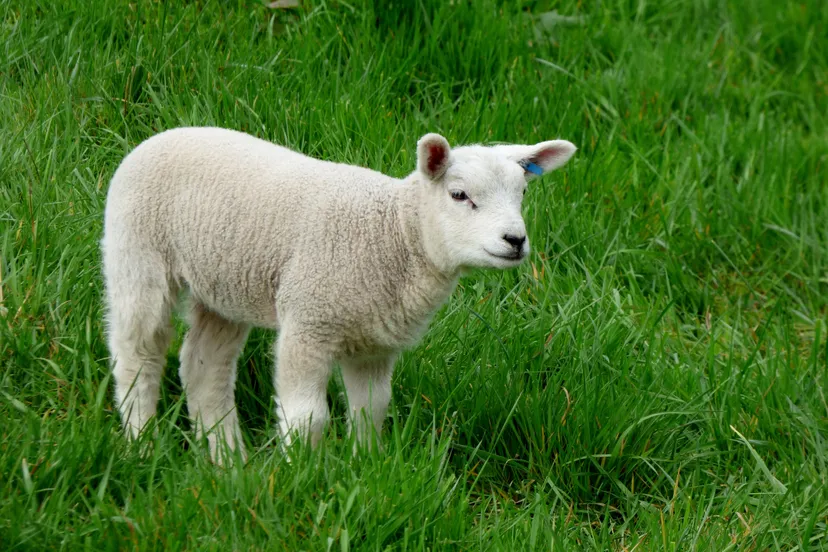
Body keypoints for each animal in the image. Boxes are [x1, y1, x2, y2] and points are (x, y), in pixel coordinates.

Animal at [101, 127, 576, 462]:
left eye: (523, 192)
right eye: (459, 195)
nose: (515, 240)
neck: (396, 233)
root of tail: (160, 136)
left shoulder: (374, 341)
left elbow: (372, 408)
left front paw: (365, 465)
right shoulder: (309, 320)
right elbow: (308, 417)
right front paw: (303, 474)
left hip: (222, 284)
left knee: (204, 367)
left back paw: (228, 459)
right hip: (137, 256)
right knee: (137, 355)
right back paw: (142, 443)